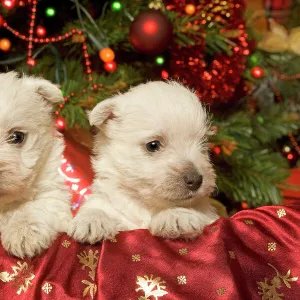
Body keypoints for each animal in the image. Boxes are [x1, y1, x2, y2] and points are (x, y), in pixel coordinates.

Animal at [68, 80, 218, 244]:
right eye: (153, 145)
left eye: (203, 144)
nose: (196, 180)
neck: (145, 205)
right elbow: (97, 206)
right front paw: (91, 220)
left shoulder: (209, 215)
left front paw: (176, 216)